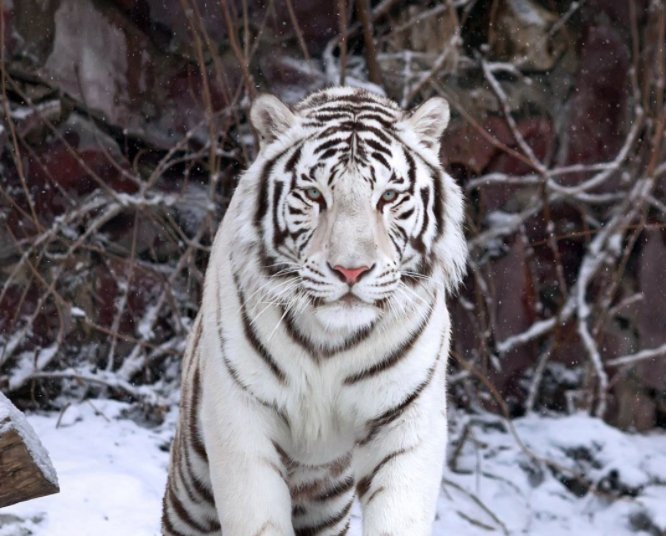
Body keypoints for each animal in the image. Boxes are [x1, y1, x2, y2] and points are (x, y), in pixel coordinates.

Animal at [161, 88, 464, 536]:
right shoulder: (241, 415)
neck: (332, 340)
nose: (351, 270)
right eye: (315, 196)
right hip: (191, 489)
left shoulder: (406, 420)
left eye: (389, 197)